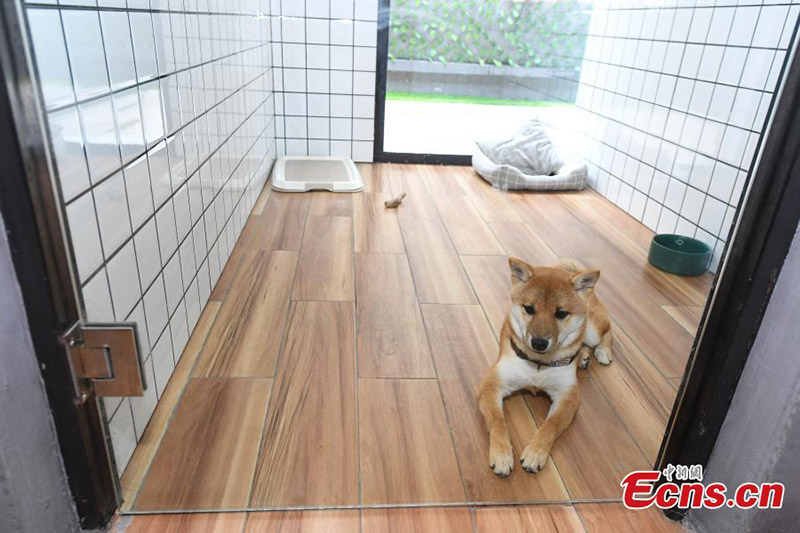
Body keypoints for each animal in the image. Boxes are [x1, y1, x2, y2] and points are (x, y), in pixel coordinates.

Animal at [476, 256, 612, 474]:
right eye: (529, 308)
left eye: (561, 313)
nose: (539, 342)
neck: (538, 364)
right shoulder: (492, 384)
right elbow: (498, 422)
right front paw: (502, 454)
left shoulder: (567, 396)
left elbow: (551, 426)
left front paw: (535, 453)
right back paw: (582, 356)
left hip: (592, 331)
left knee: (607, 331)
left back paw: (603, 352)